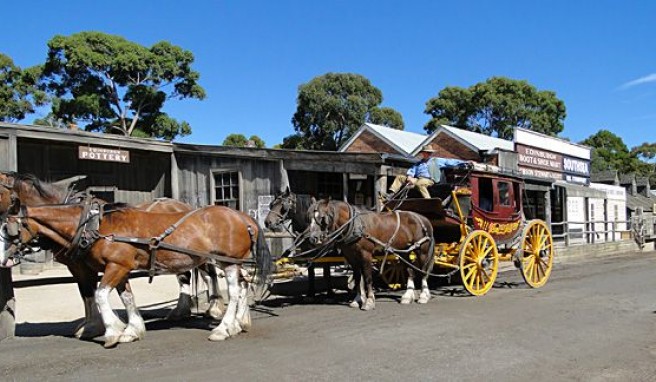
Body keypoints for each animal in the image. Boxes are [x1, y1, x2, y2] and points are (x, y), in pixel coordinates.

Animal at [0, 172, 223, 338]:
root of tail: (185, 206)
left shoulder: (83, 265)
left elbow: (90, 292)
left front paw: (98, 326)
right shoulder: (82, 265)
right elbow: (90, 293)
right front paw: (110, 324)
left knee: (208, 273)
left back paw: (214, 307)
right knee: (187, 275)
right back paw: (182, 311)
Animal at [4, 198, 272, 348]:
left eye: (8, 228)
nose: (3, 260)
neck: (96, 227)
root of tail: (243, 216)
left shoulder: (115, 266)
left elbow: (100, 295)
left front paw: (112, 331)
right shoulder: (121, 268)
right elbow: (127, 298)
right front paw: (132, 330)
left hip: (228, 262)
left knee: (235, 292)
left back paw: (223, 328)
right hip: (231, 263)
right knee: (244, 285)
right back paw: (239, 323)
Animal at [308, 197, 436, 310]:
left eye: (322, 218)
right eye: (309, 217)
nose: (313, 239)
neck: (355, 225)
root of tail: (423, 218)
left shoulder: (366, 254)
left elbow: (368, 278)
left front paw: (369, 302)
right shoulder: (351, 256)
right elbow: (358, 278)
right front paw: (357, 300)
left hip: (422, 250)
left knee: (423, 271)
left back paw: (424, 296)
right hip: (404, 250)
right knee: (410, 270)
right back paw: (407, 296)